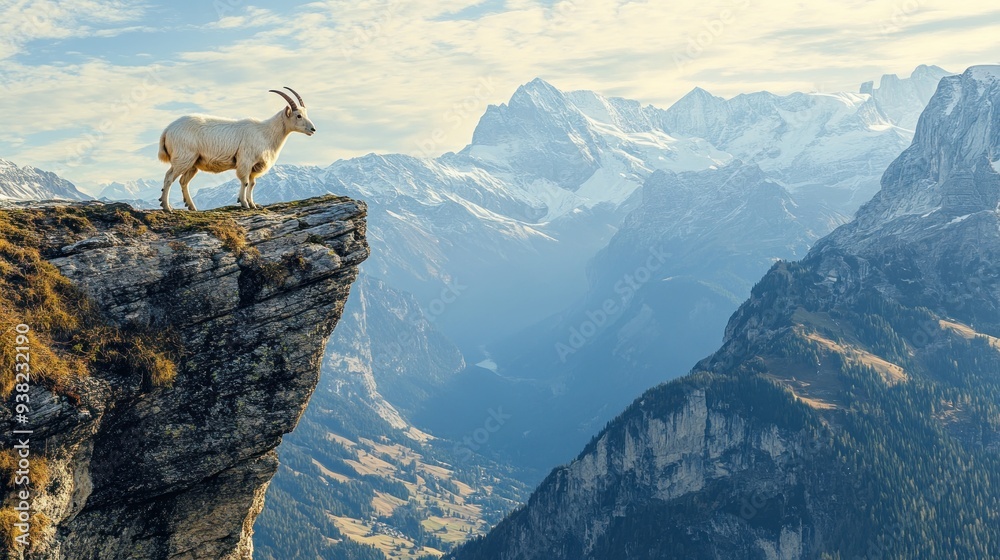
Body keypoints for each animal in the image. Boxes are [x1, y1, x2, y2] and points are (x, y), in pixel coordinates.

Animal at [157, 87, 316, 211]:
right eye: (298, 115)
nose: (313, 129)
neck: (265, 132)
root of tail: (167, 130)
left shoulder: (254, 166)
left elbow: (252, 183)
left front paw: (253, 204)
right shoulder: (245, 160)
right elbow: (245, 181)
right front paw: (244, 203)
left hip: (193, 162)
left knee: (183, 181)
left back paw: (191, 207)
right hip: (183, 157)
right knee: (169, 177)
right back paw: (166, 207)